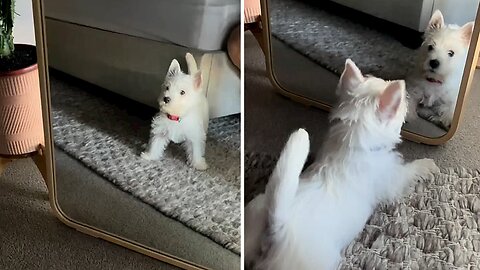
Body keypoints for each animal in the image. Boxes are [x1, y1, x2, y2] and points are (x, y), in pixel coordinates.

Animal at [246, 59, 440, 270]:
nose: (408, 98)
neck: (352, 143)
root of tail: (275, 229)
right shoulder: (393, 179)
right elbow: (411, 171)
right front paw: (428, 165)